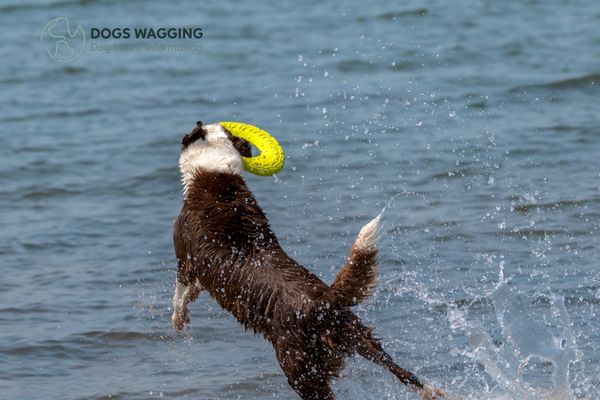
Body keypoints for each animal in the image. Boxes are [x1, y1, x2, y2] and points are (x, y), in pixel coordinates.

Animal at [171, 122, 442, 400]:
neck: (216, 175)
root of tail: (323, 303)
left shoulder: (184, 257)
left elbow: (179, 292)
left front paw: (179, 319)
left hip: (299, 366)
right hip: (359, 335)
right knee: (402, 372)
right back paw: (434, 390)